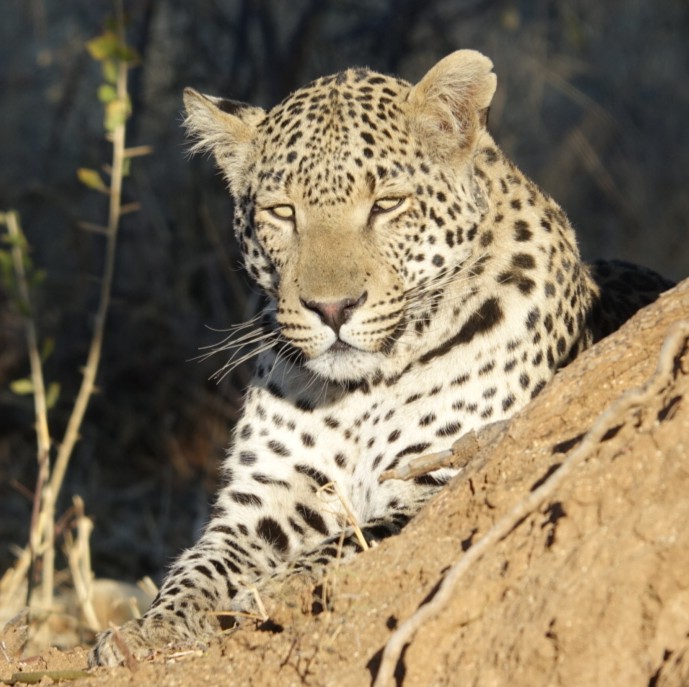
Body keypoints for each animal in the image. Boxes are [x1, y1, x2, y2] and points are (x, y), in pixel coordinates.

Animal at [90, 50, 672, 666]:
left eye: (387, 205)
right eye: (282, 212)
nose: (332, 308)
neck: (362, 392)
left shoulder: (443, 475)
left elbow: (358, 540)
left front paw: (278, 589)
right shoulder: (267, 495)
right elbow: (200, 564)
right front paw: (147, 629)